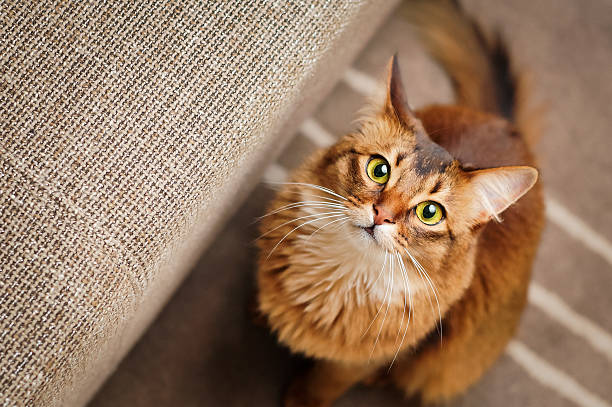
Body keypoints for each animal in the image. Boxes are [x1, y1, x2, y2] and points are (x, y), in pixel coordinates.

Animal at [256, 1, 544, 406]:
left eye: (430, 212)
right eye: (379, 170)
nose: (381, 215)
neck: (344, 275)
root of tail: (506, 125)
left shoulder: (373, 355)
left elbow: (330, 378)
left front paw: (302, 398)